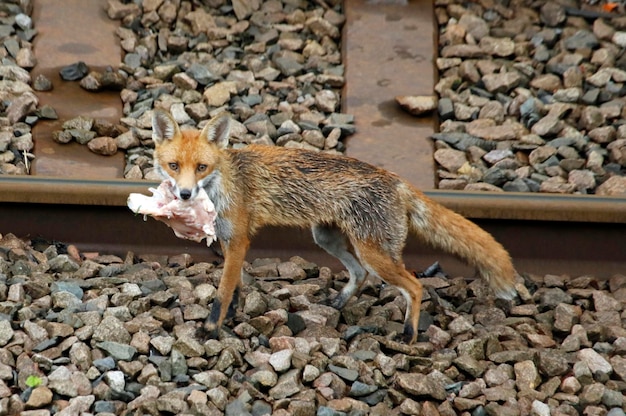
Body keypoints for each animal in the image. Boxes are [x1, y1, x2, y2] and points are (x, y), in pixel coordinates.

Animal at [149, 109, 516, 342]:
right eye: (174, 165)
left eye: (201, 167)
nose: (184, 194)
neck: (225, 182)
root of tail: (398, 181)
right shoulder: (229, 239)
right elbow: (234, 285)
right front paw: (232, 315)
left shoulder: (239, 239)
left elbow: (223, 291)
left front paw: (211, 329)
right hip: (327, 238)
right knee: (359, 274)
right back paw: (338, 305)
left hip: (374, 254)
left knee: (414, 286)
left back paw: (409, 336)